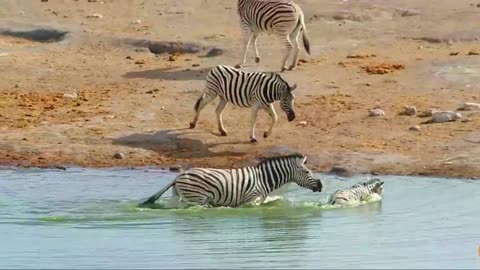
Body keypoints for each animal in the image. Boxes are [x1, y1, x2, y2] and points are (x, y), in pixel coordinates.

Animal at [137, 153, 322, 208]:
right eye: (307, 171)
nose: (321, 185)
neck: (264, 179)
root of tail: (177, 176)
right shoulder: (251, 200)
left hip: (180, 196)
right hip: (197, 198)